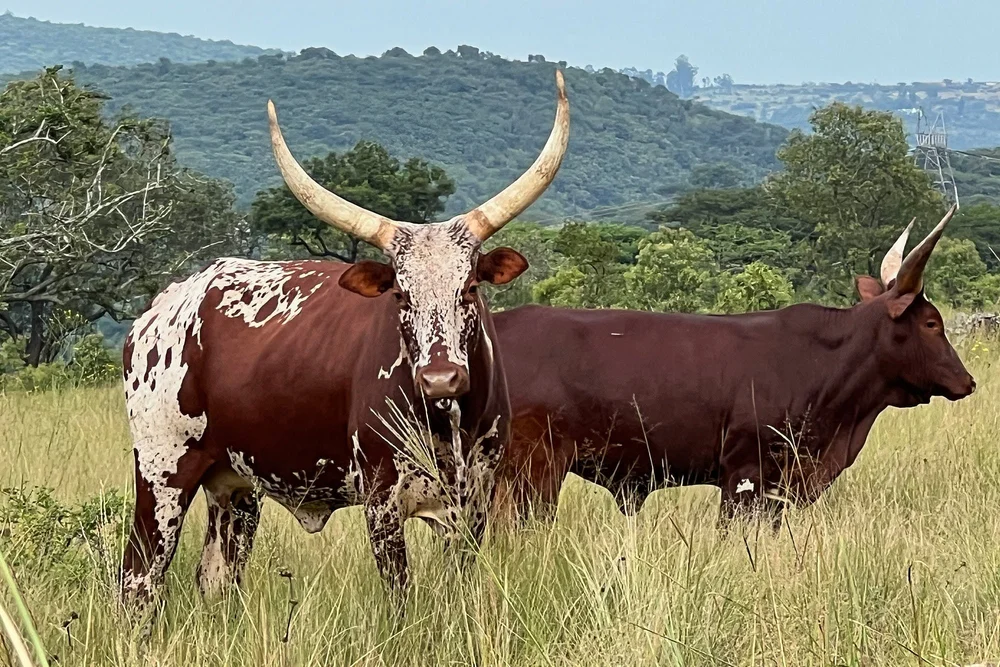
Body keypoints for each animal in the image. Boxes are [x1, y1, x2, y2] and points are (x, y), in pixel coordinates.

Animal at [119, 72, 570, 609]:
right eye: (400, 293)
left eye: (470, 287)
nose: (441, 378)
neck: (446, 425)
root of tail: (161, 307)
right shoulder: (381, 504)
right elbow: (400, 599)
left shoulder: (474, 504)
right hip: (162, 473)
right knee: (139, 579)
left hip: (234, 487)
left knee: (216, 577)